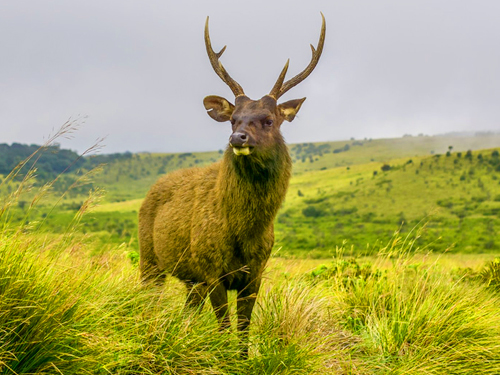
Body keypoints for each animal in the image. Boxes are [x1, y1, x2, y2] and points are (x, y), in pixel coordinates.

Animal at [139, 12, 326, 356]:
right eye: (232, 118)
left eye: (268, 119)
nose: (237, 138)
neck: (244, 231)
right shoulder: (211, 269)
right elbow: (225, 327)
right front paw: (224, 359)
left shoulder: (254, 273)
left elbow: (243, 330)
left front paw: (242, 359)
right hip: (150, 258)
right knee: (148, 300)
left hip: (191, 280)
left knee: (187, 312)